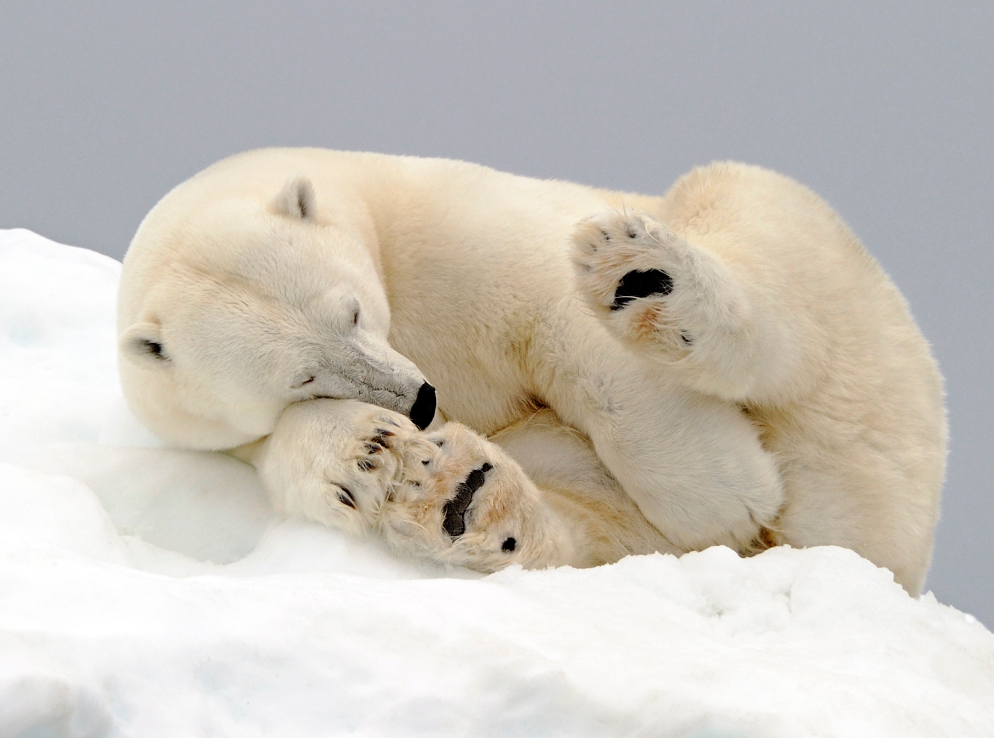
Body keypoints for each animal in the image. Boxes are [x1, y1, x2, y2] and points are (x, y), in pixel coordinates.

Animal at [117, 148, 946, 594]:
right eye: (303, 376)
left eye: (350, 310)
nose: (424, 400)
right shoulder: (220, 435)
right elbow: (294, 456)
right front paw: (371, 455)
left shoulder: (449, 230)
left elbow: (561, 319)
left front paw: (725, 495)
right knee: (589, 523)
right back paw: (462, 496)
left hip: (853, 327)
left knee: (758, 241)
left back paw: (646, 277)